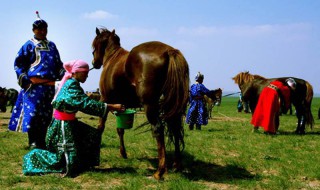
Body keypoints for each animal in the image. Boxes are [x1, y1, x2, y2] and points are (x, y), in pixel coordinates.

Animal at [90, 27, 190, 179]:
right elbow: (120, 129)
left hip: (150, 105)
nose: (94, 62)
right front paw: (123, 153)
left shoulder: (104, 100)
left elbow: (100, 127)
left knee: (158, 129)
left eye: (94, 45)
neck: (112, 57)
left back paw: (160, 171)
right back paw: (176, 165)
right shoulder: (121, 106)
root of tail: (169, 51)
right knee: (175, 128)